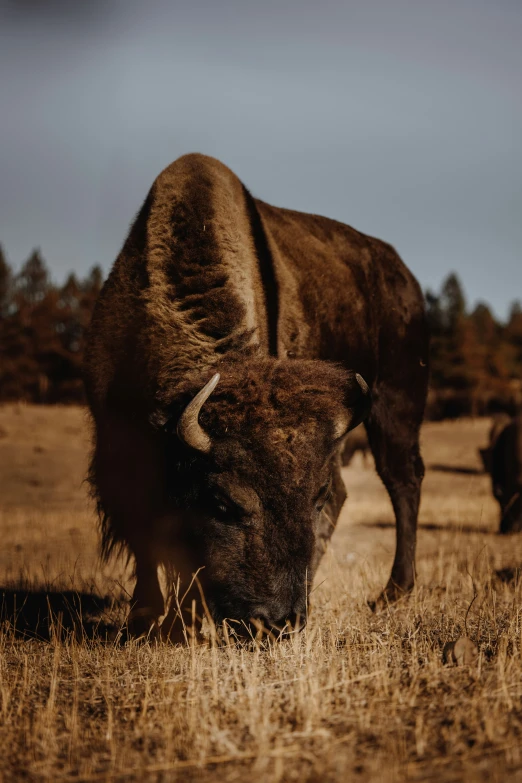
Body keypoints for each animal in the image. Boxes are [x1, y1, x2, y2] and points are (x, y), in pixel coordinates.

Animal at [84, 155, 426, 644]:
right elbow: (143, 531)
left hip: (395, 408)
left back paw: (391, 593)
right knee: (357, 492)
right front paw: (150, 617)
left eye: (312, 497)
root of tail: (406, 281)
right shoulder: (115, 441)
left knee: (403, 482)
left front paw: (177, 619)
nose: (279, 622)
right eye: (223, 502)